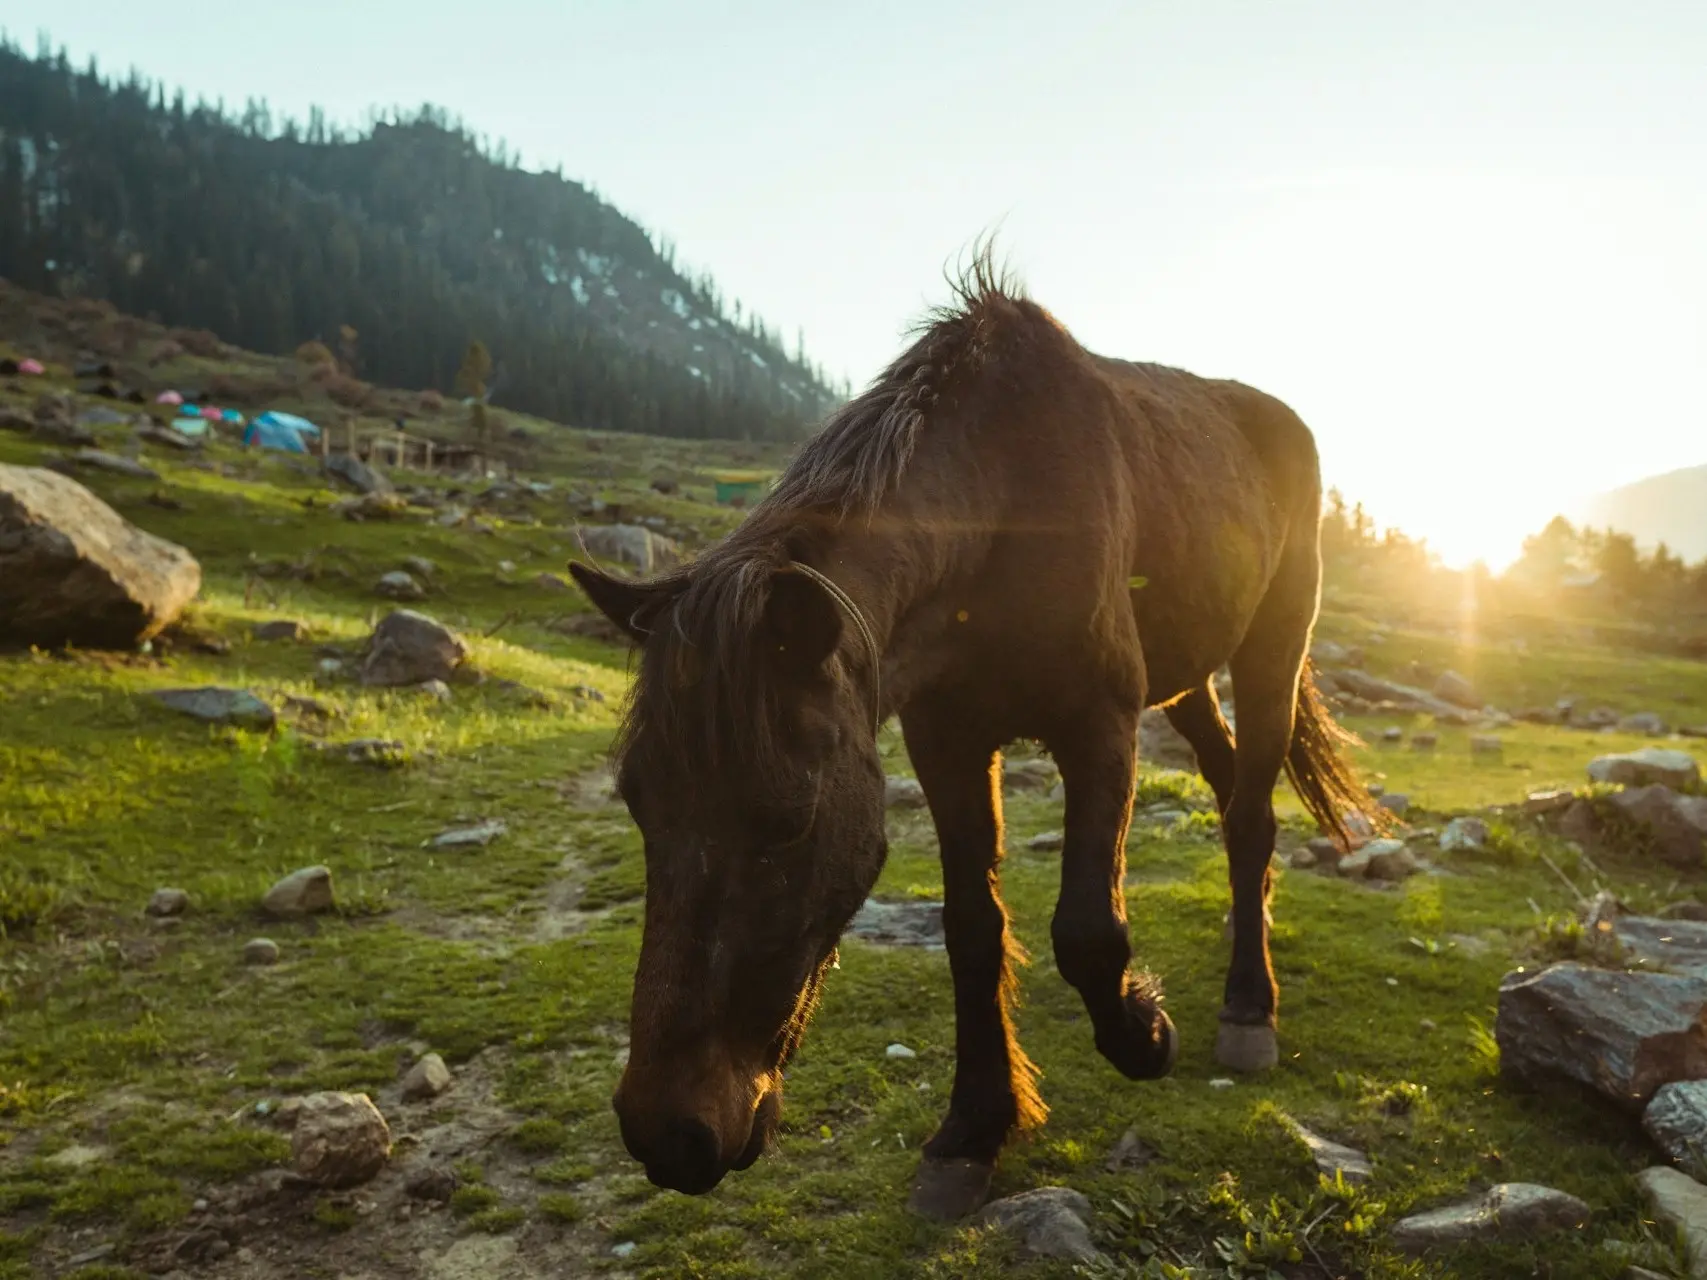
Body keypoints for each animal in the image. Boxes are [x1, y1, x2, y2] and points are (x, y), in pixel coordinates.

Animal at [570, 250, 1372, 1221]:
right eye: (639, 803)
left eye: (787, 821)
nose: (669, 1136)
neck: (1002, 512)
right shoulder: (945, 741)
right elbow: (970, 929)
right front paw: (972, 1130)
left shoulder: (1097, 723)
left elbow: (1087, 932)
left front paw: (1144, 1029)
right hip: (1186, 680)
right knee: (1230, 797)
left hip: (1270, 652)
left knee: (1252, 814)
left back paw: (1248, 1009)